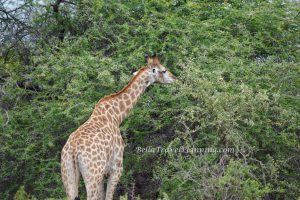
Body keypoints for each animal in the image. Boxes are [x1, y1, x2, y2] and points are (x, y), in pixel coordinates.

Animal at [61, 55, 177, 200]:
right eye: (164, 70)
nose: (175, 78)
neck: (117, 116)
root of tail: (73, 151)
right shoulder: (116, 169)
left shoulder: (103, 174)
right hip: (92, 175)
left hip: (68, 174)